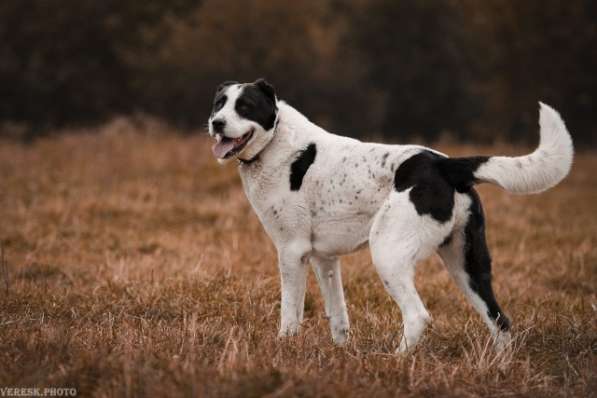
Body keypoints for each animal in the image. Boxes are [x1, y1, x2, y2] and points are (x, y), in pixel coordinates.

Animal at [206, 79, 572, 352]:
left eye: (245, 107)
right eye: (219, 103)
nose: (216, 123)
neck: (276, 142)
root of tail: (445, 165)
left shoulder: (292, 252)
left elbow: (290, 312)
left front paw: (286, 347)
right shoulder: (325, 259)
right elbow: (338, 314)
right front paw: (341, 352)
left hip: (388, 254)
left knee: (418, 315)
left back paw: (395, 360)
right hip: (466, 266)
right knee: (499, 319)